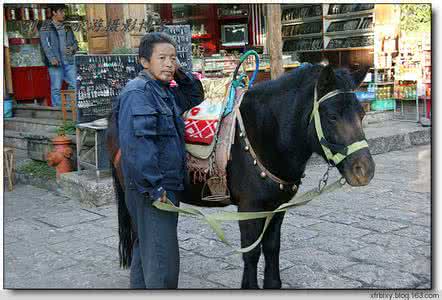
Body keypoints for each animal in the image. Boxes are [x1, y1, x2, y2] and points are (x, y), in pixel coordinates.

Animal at [105, 64, 374, 290]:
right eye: (332, 116)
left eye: (361, 114)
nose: (365, 170)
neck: (266, 131)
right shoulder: (249, 208)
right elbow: (251, 252)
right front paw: (250, 286)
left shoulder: (276, 207)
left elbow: (272, 247)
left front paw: (273, 284)